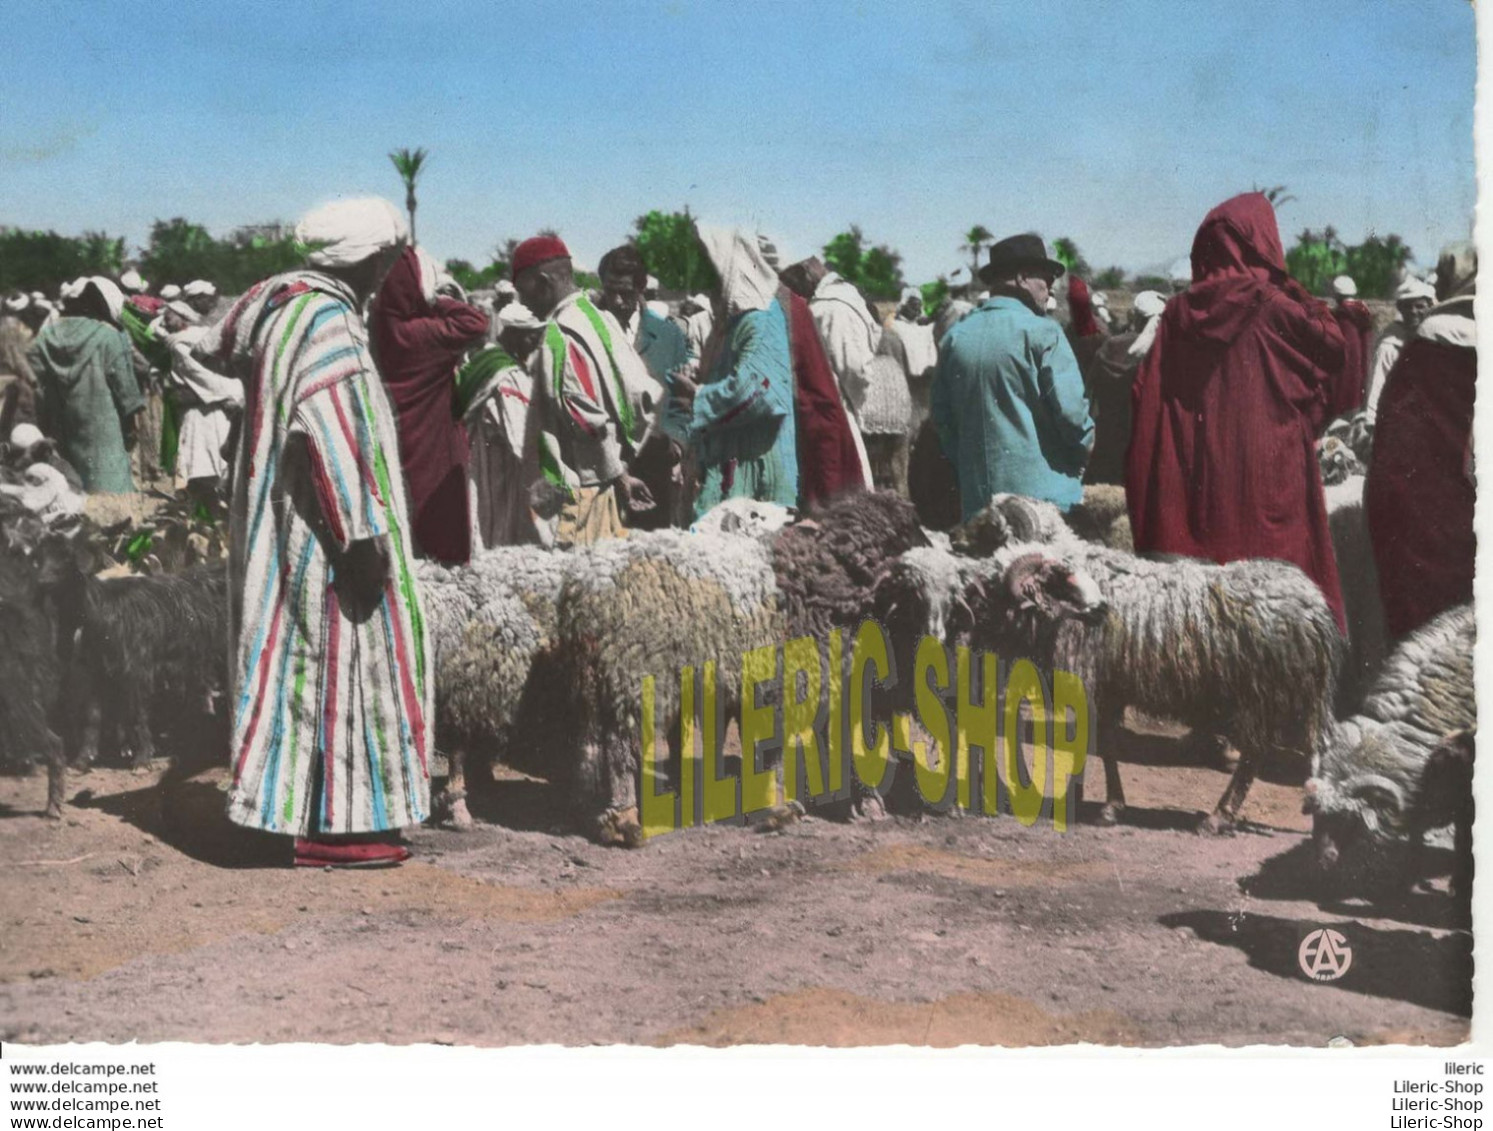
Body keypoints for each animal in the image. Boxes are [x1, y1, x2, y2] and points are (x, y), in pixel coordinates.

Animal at [949, 495, 1349, 835]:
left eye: (990, 529)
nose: (953, 538)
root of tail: (1315, 608)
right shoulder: (1111, 689)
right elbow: (1106, 744)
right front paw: (1107, 803)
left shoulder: (1093, 683)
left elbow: (1098, 744)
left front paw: (1094, 803)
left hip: (1261, 694)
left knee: (1253, 756)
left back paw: (1218, 817)